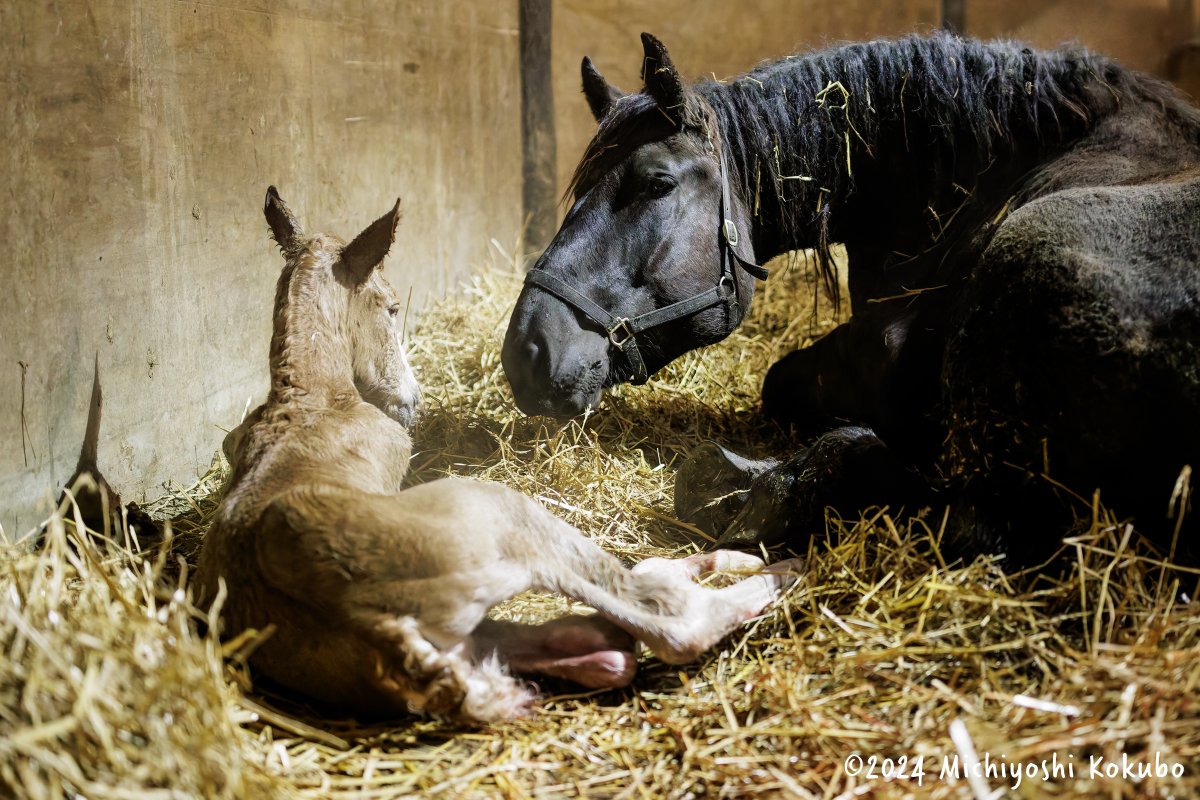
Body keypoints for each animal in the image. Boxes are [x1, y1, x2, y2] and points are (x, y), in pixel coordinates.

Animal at [195, 187, 802, 723]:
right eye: (391, 307)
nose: (410, 402)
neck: (309, 400)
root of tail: (364, 622)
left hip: (476, 638)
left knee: (599, 641)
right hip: (503, 513)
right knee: (666, 618)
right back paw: (788, 567)